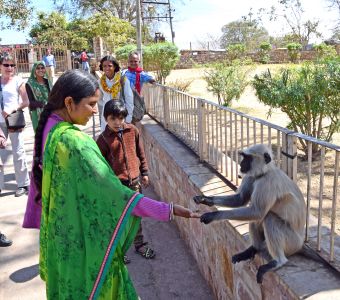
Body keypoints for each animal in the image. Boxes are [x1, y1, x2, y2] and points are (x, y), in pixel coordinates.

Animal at [193, 144, 306, 282]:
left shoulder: (267, 182)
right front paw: (206, 200)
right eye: (243, 157)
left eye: (247, 158)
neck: (264, 172)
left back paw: (278, 262)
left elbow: (258, 212)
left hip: (292, 242)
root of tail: (301, 243)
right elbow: (240, 199)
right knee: (255, 219)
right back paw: (253, 249)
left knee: (268, 217)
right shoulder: (252, 176)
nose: (241, 163)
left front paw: (213, 216)